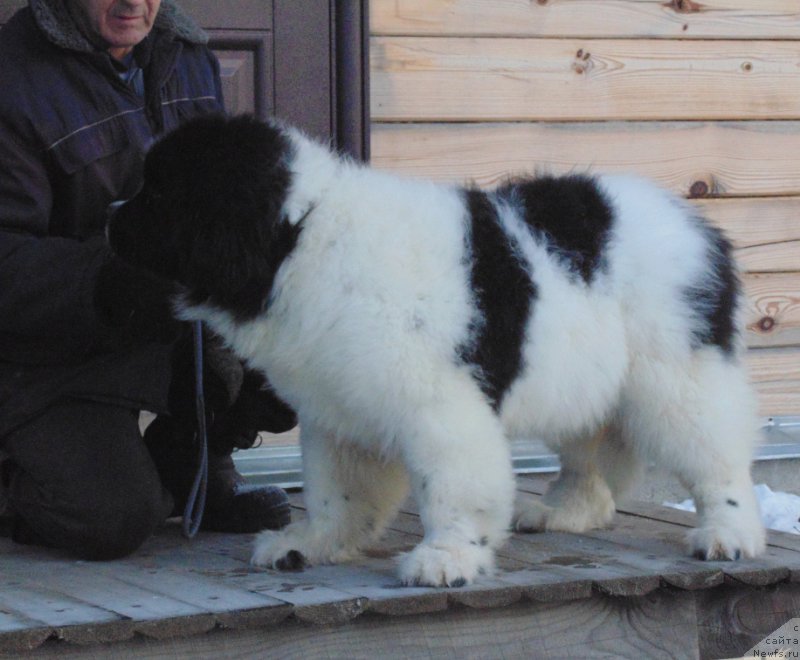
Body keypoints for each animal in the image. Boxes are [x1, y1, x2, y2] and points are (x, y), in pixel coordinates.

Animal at [109, 114, 764, 588]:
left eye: (157, 193)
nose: (111, 216)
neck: (300, 239)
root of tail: (700, 224)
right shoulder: (341, 406)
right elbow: (336, 487)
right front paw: (311, 543)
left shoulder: (439, 404)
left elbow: (453, 487)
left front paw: (447, 558)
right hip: (586, 373)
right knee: (591, 452)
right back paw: (564, 510)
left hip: (675, 373)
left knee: (715, 455)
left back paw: (729, 533)